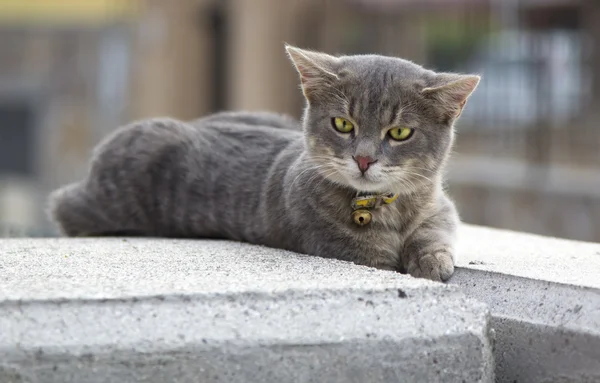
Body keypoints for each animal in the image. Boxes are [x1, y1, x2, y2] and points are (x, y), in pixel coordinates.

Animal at [48, 46, 478, 284]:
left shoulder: (440, 207)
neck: (386, 210)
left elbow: (434, 229)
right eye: (343, 124)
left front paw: (432, 260)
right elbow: (381, 259)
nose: (364, 158)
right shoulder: (340, 247)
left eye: (400, 132)